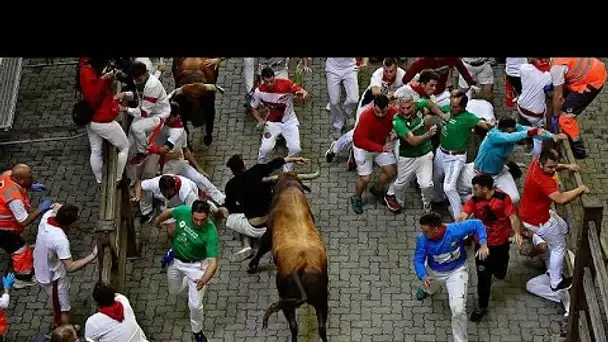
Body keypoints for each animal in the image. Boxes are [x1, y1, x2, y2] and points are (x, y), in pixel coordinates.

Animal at [249, 171, 330, 342]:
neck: (290, 189)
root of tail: (302, 265)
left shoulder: (268, 233)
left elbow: (262, 248)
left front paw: (252, 265)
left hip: (287, 301)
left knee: (294, 326)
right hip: (322, 301)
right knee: (322, 327)